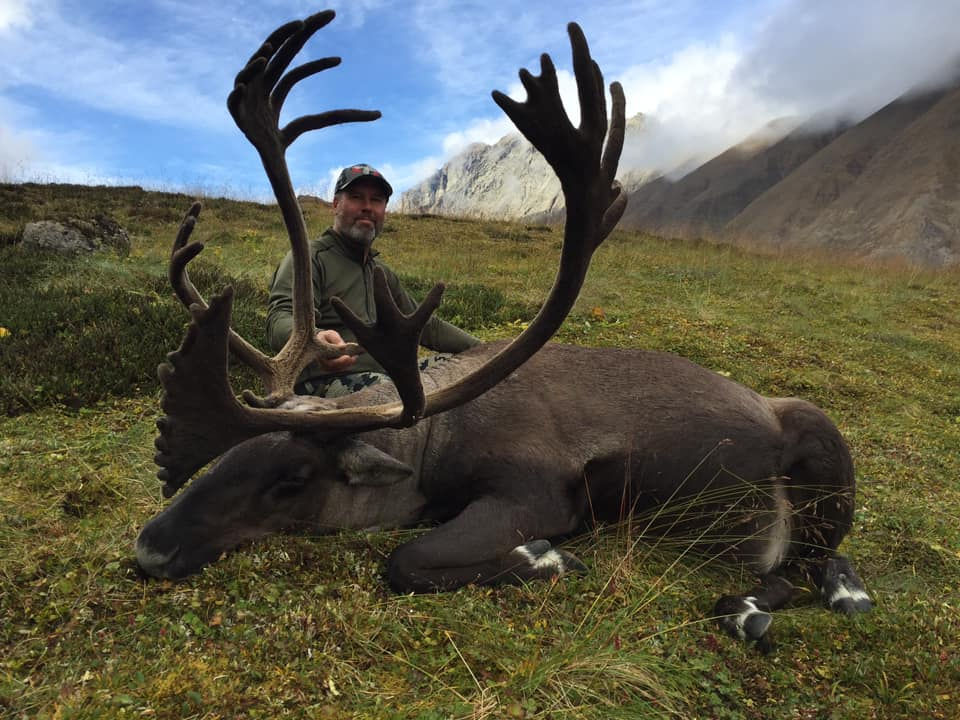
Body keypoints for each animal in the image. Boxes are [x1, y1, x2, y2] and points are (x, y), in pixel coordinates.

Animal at [135, 10, 872, 651]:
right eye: (228, 456)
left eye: (291, 477)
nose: (149, 547)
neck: (436, 439)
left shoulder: (537, 490)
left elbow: (405, 560)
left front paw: (545, 560)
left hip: (823, 447)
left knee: (803, 567)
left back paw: (757, 606)